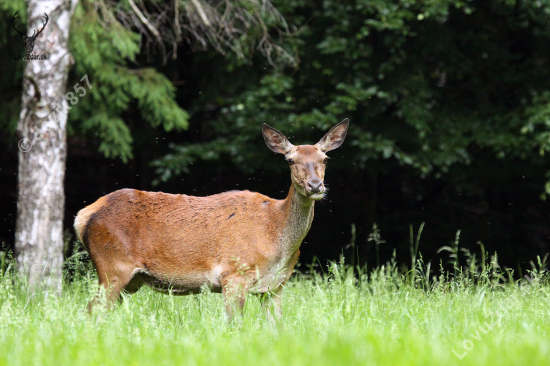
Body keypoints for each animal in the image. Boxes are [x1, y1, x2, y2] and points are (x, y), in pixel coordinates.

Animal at [74, 119, 350, 320]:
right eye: (290, 160)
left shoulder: (275, 286)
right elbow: (234, 325)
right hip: (113, 266)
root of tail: (83, 215)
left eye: (325, 159)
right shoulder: (234, 273)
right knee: (91, 310)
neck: (277, 237)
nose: (315, 186)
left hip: (131, 280)